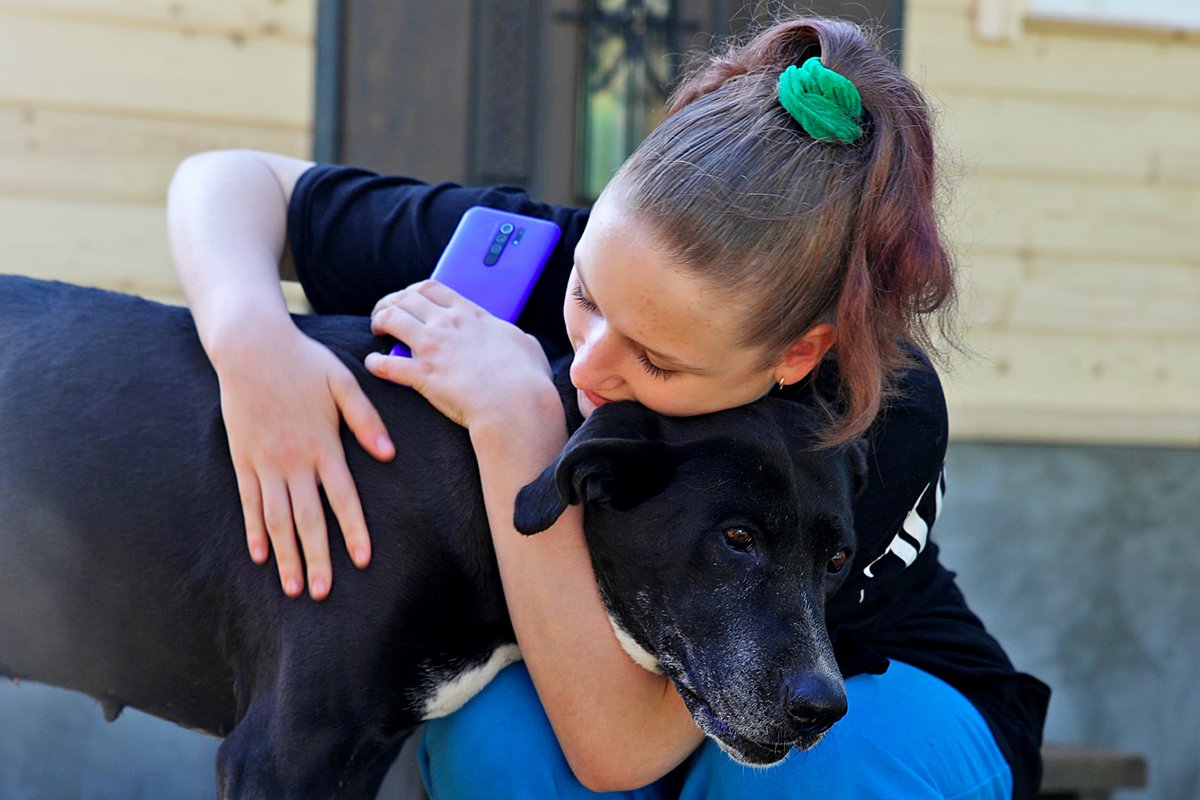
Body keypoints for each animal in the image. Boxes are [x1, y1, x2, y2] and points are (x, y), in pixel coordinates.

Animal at [0, 277, 864, 800]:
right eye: (738, 536)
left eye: (838, 562)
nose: (825, 708)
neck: (482, 471)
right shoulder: (281, 752)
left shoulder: (357, 753)